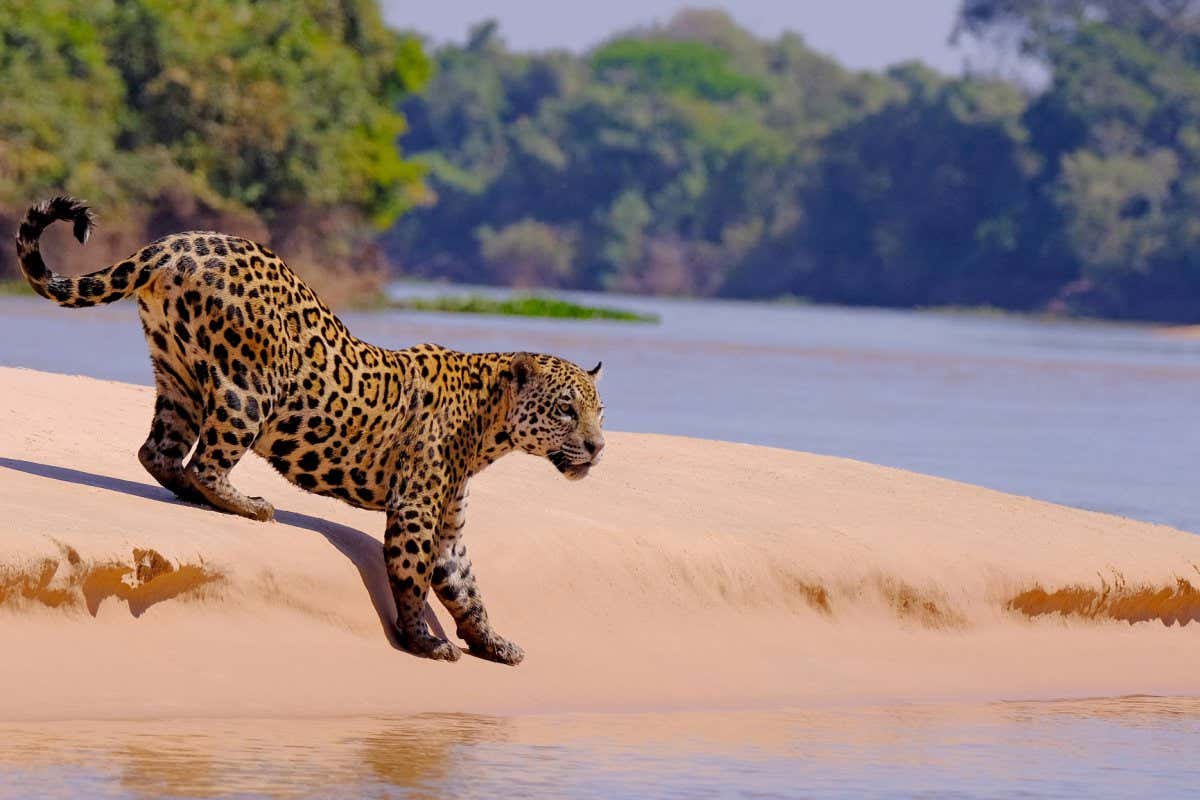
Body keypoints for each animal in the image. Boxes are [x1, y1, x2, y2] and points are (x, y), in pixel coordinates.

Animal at [14, 196, 607, 665]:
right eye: (566, 411)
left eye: (600, 412)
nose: (599, 448)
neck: (489, 424)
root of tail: (177, 242)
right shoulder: (415, 509)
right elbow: (412, 578)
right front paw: (424, 642)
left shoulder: (448, 527)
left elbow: (467, 589)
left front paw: (494, 642)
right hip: (248, 387)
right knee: (206, 462)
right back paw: (250, 505)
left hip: (177, 372)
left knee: (157, 452)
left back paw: (196, 493)